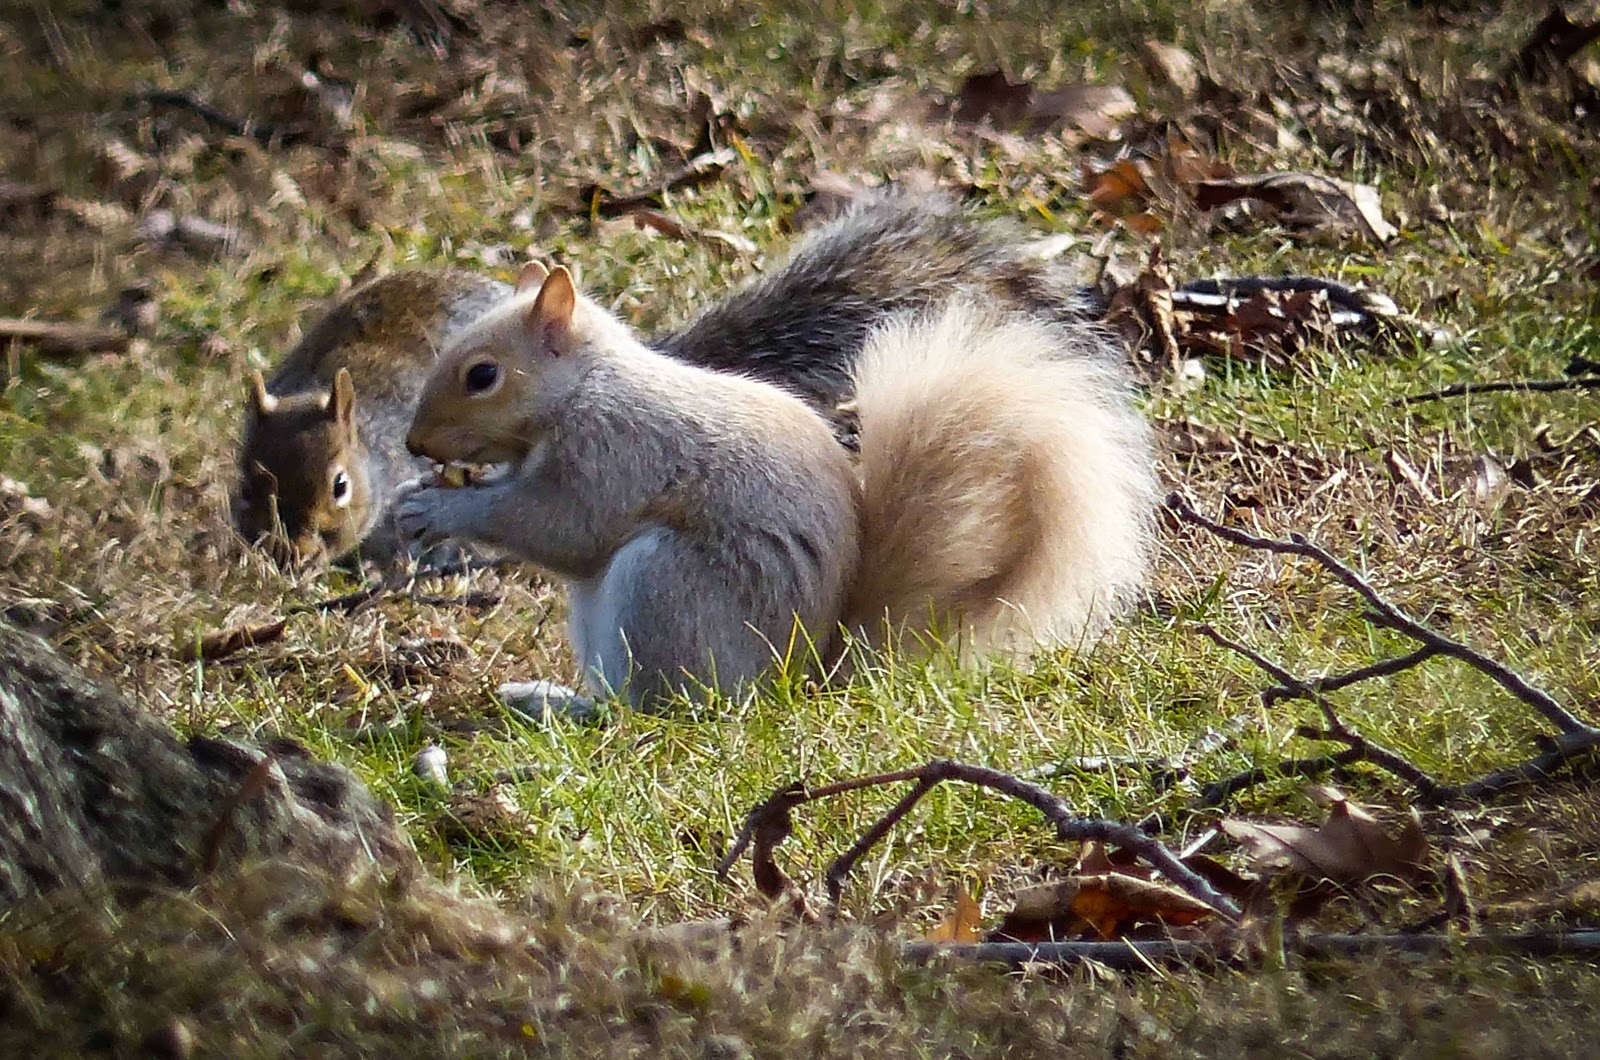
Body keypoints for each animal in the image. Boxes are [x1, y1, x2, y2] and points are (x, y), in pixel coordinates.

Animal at [394, 260, 1156, 715]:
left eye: (482, 375)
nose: (415, 445)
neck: (583, 387)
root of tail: (807, 673)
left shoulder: (613, 451)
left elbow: (562, 527)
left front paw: (440, 507)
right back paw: (549, 699)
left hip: (665, 589)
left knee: (668, 709)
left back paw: (578, 709)